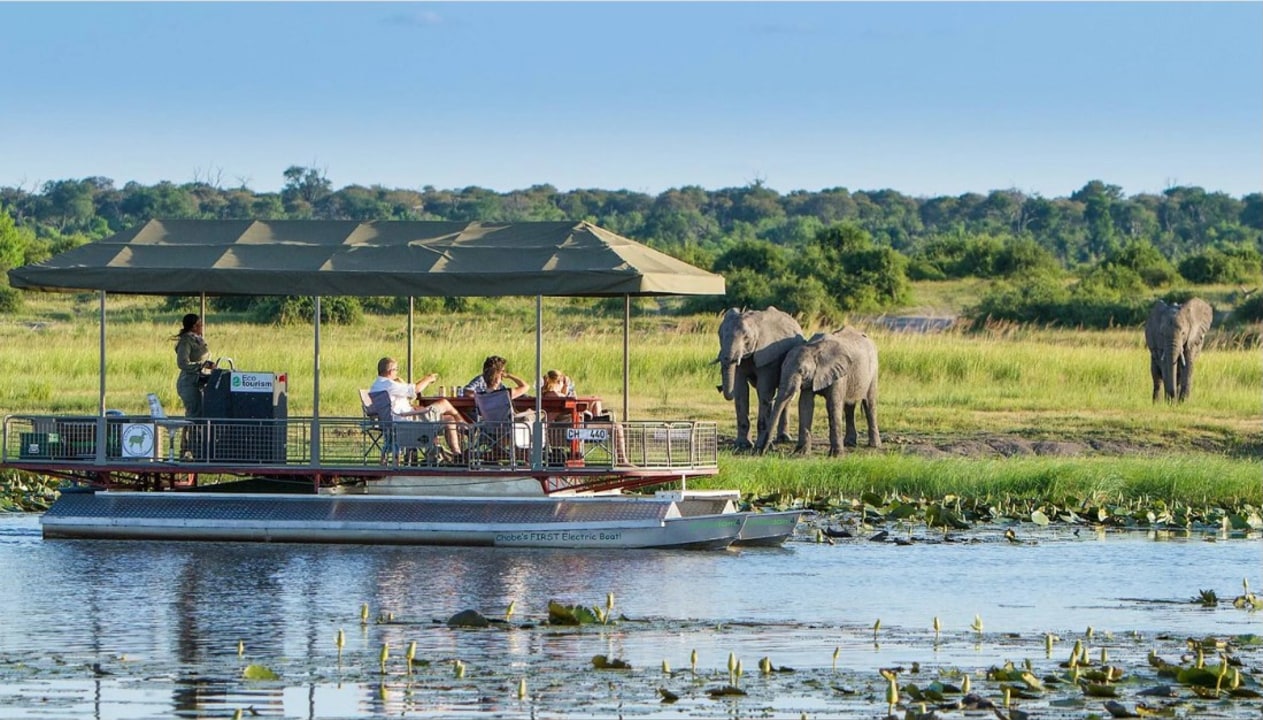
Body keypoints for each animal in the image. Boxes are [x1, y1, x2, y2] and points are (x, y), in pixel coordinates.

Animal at [716, 306, 804, 451]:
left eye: (746, 337)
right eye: (720, 335)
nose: (719, 387)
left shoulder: (768, 357)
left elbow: (764, 390)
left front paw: (758, 446)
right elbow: (741, 391)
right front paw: (742, 446)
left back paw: (784, 439)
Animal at [757, 327, 880, 457]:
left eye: (802, 372)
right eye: (781, 369)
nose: (762, 452)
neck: (814, 349)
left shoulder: (839, 374)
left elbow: (833, 405)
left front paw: (836, 456)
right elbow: (805, 405)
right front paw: (801, 453)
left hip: (873, 370)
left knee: (869, 404)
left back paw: (874, 445)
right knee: (849, 407)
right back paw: (849, 443)